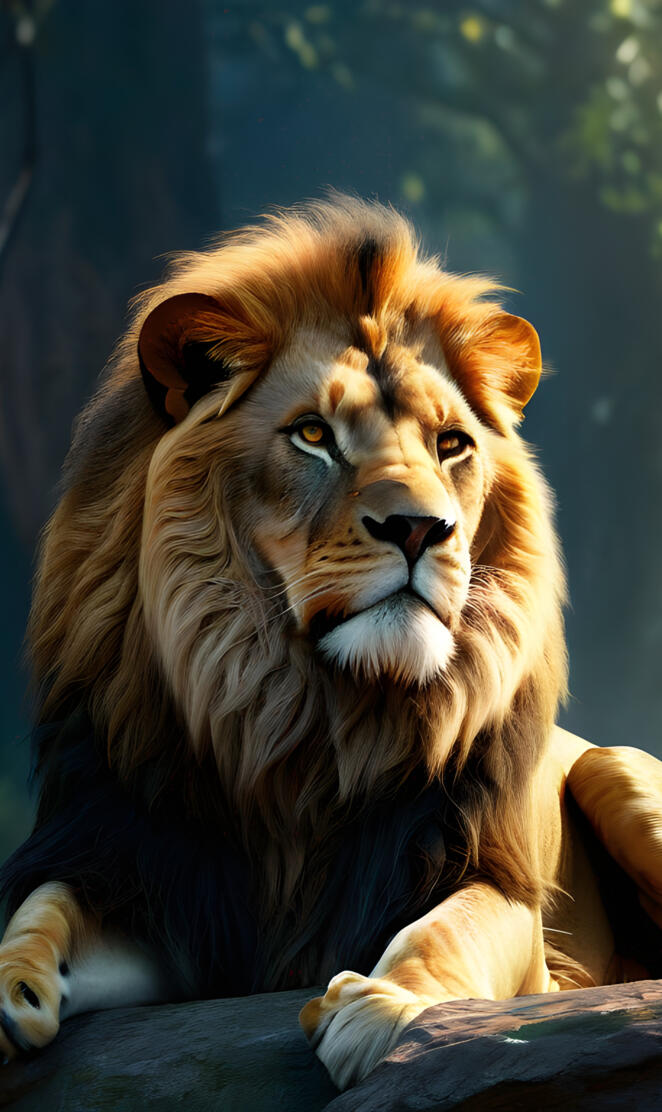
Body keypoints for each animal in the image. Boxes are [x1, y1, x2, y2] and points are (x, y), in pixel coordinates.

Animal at [1, 196, 661, 1090]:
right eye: (313, 435)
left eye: (452, 444)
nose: (421, 528)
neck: (309, 720)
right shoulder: (154, 873)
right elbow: (44, 910)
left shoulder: (492, 881)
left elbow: (446, 927)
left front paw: (382, 1005)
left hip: (612, 766)